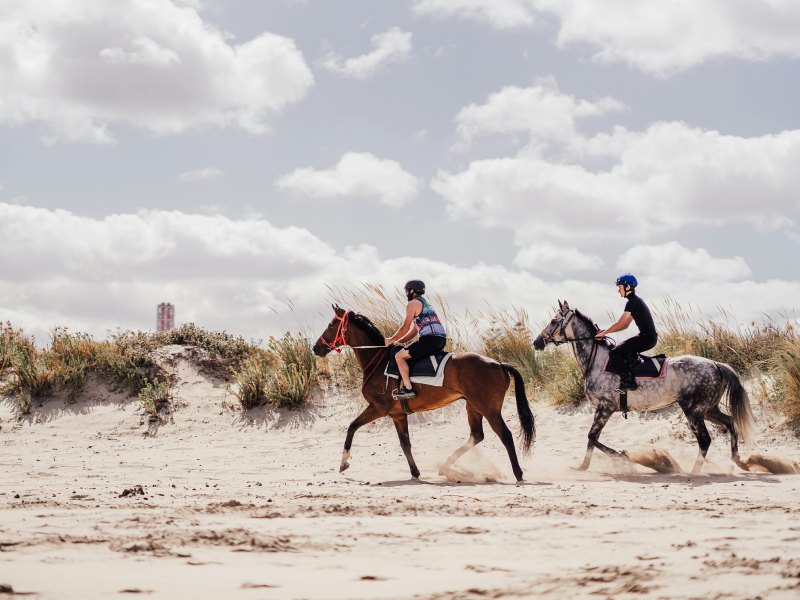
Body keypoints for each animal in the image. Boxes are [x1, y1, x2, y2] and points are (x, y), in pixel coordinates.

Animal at [312, 304, 536, 482]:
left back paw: (518, 473)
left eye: (331, 324)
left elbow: (352, 427)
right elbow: (405, 444)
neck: (377, 360)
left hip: (488, 408)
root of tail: (499, 364)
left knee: (505, 435)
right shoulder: (397, 415)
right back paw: (446, 466)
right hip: (472, 406)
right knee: (476, 436)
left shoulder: (378, 408)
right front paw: (415, 472)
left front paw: (344, 462)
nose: (316, 347)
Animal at [536, 300, 752, 474]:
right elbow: (592, 439)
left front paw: (623, 456)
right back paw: (739, 461)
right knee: (730, 422)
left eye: (554, 321)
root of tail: (716, 364)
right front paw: (582, 467)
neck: (596, 361)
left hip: (693, 410)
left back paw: (693, 472)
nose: (538, 342)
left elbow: (592, 437)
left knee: (705, 440)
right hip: (708, 409)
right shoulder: (603, 409)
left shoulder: (605, 408)